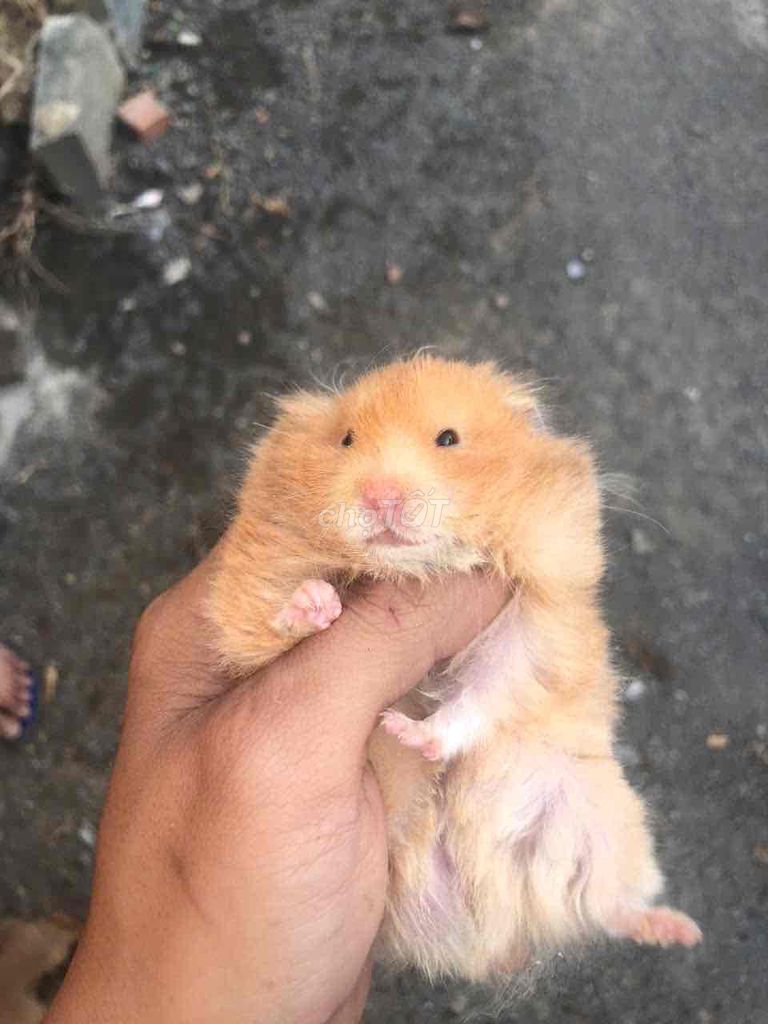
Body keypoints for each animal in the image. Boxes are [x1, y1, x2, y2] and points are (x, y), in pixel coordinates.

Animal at [210, 356, 701, 982]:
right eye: (346, 439)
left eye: (448, 438)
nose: (381, 496)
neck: (417, 568)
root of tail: (482, 932)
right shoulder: (248, 595)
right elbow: (268, 622)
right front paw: (319, 602)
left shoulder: (538, 619)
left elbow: (486, 691)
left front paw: (409, 733)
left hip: (601, 820)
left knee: (606, 904)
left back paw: (678, 930)